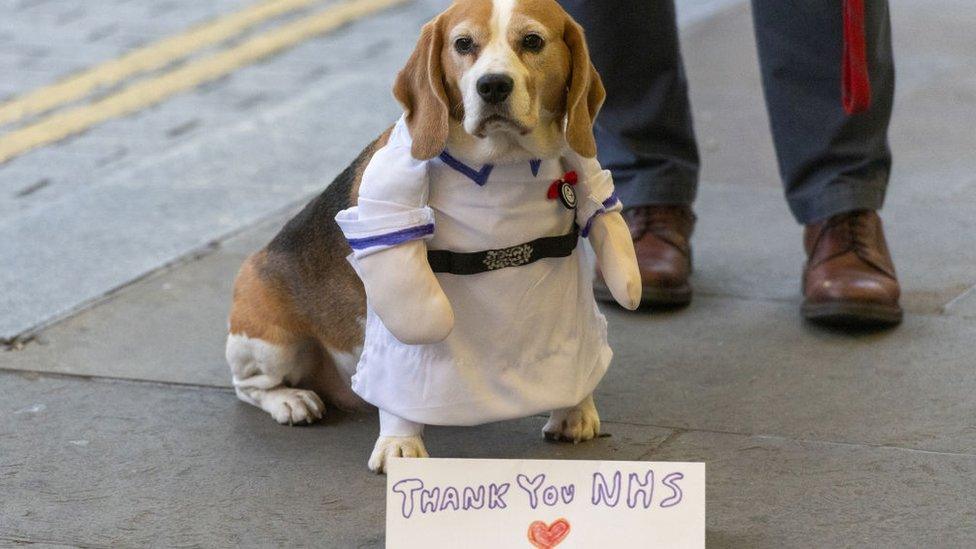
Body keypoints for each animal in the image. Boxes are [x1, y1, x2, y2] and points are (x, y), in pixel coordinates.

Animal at [225, 0, 644, 470]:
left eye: (533, 41)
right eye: (462, 44)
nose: (492, 85)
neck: (505, 166)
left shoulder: (564, 279)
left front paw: (573, 410)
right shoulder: (400, 281)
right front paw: (399, 444)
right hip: (270, 343)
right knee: (249, 386)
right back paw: (292, 400)